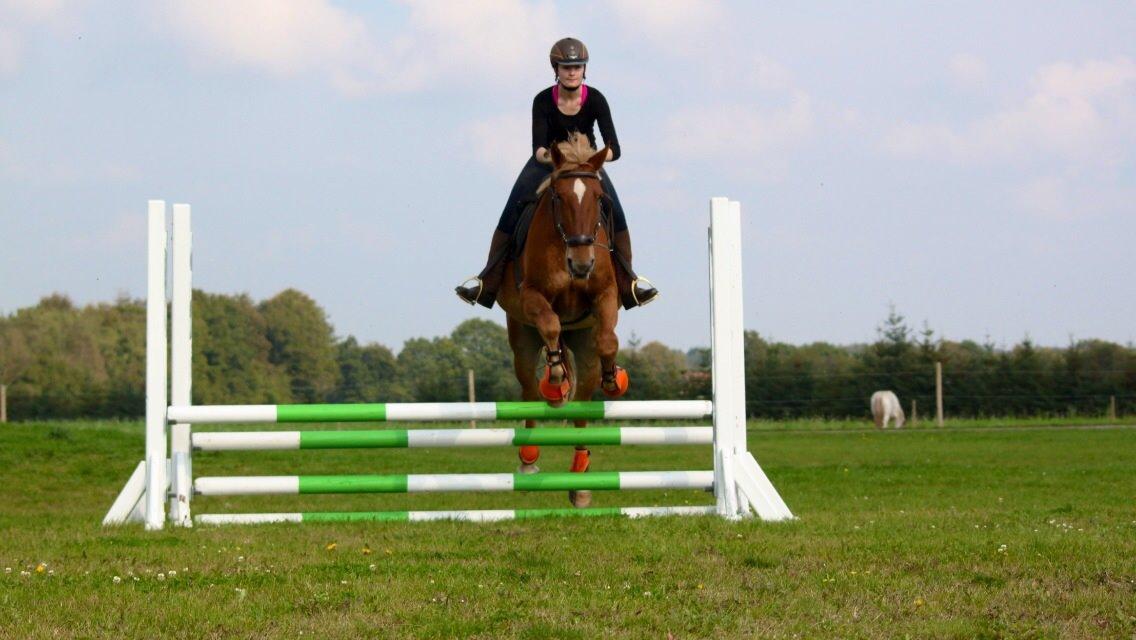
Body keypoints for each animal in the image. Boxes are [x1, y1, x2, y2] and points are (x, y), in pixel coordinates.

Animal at [497, 133, 631, 509]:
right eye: (558, 197)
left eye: (600, 199)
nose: (582, 263)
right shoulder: (530, 297)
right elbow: (551, 324)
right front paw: (555, 379)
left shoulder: (606, 296)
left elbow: (608, 340)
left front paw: (614, 379)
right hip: (521, 339)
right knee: (530, 389)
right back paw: (529, 457)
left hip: (583, 350)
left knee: (583, 407)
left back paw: (580, 481)